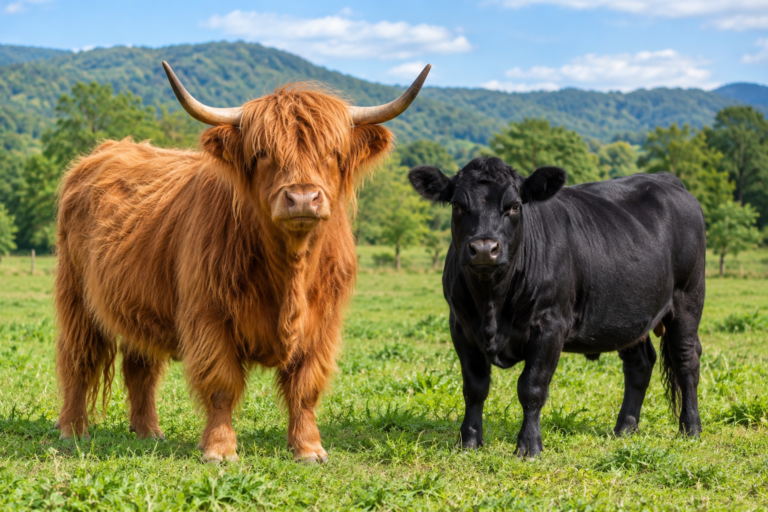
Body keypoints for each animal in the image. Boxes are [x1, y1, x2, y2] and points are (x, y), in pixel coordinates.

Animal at [54, 61, 430, 463]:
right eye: (263, 152)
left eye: (333, 151)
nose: (302, 198)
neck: (290, 269)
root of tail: (105, 151)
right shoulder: (209, 316)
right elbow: (222, 385)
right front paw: (219, 449)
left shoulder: (322, 325)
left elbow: (305, 388)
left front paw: (309, 449)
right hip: (76, 296)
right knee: (78, 359)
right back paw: (73, 429)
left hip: (139, 304)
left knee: (140, 366)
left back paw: (148, 431)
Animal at [408, 156, 705, 457]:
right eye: (457, 205)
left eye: (514, 205)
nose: (483, 248)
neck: (492, 303)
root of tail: (665, 178)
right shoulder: (461, 326)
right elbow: (474, 387)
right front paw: (468, 442)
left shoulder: (550, 325)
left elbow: (532, 387)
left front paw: (529, 446)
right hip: (629, 314)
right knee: (639, 365)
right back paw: (624, 428)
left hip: (688, 297)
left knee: (686, 359)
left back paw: (690, 428)